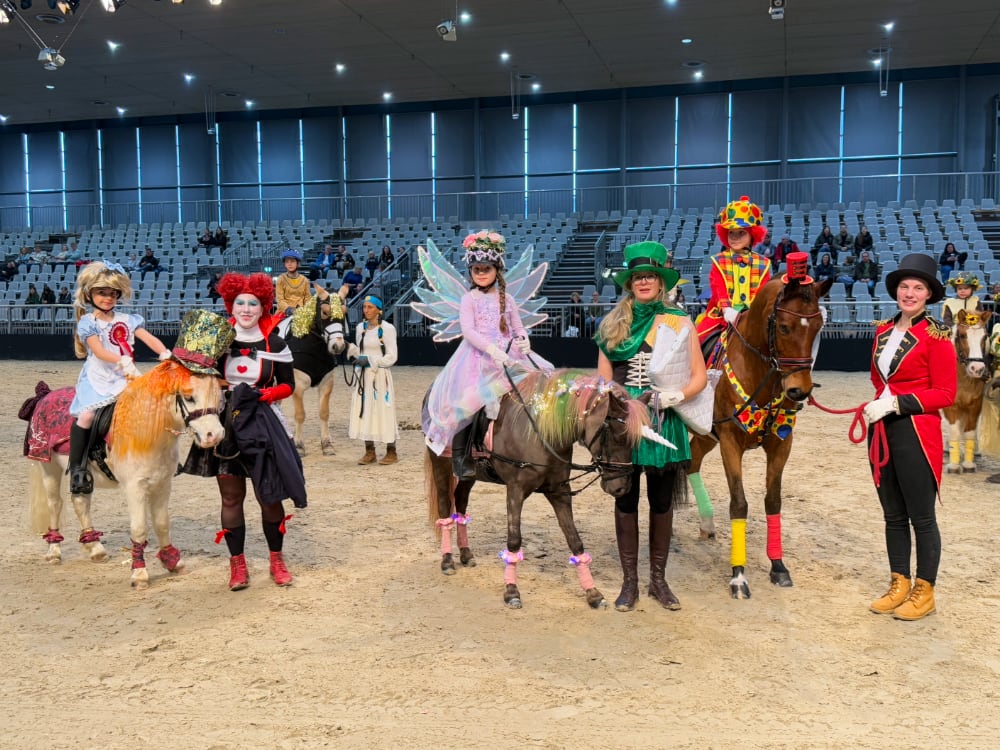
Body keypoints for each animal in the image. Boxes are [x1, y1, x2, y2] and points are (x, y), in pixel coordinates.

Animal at [23, 360, 225, 588]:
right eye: (189, 397)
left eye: (217, 396)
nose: (214, 435)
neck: (148, 433)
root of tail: (45, 395)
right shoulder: (134, 487)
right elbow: (139, 528)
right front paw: (139, 574)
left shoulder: (163, 484)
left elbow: (162, 524)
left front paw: (172, 562)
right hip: (49, 468)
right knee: (55, 504)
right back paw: (54, 551)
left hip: (83, 477)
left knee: (80, 502)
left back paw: (96, 549)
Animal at [278, 295, 349, 455]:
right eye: (324, 312)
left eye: (344, 312)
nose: (338, 346)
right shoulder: (297, 386)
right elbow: (300, 415)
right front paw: (299, 446)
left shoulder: (326, 383)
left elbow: (324, 412)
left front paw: (327, 445)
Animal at [425, 369, 651, 609]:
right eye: (615, 433)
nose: (621, 487)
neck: (541, 431)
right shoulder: (515, 490)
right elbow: (514, 540)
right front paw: (511, 591)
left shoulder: (559, 491)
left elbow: (575, 540)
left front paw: (593, 593)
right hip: (440, 462)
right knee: (444, 506)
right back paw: (447, 561)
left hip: (471, 474)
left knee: (461, 500)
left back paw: (466, 555)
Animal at [687, 275, 833, 599]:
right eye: (784, 327)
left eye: (818, 327)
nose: (799, 390)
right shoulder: (730, 441)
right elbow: (739, 503)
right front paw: (738, 575)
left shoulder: (781, 443)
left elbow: (773, 501)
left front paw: (778, 566)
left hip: (706, 435)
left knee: (691, 464)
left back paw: (707, 522)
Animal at [942, 308, 993, 473]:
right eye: (963, 335)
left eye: (985, 336)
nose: (977, 369)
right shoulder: (951, 406)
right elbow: (954, 432)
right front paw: (954, 465)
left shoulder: (975, 404)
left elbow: (969, 432)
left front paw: (968, 464)